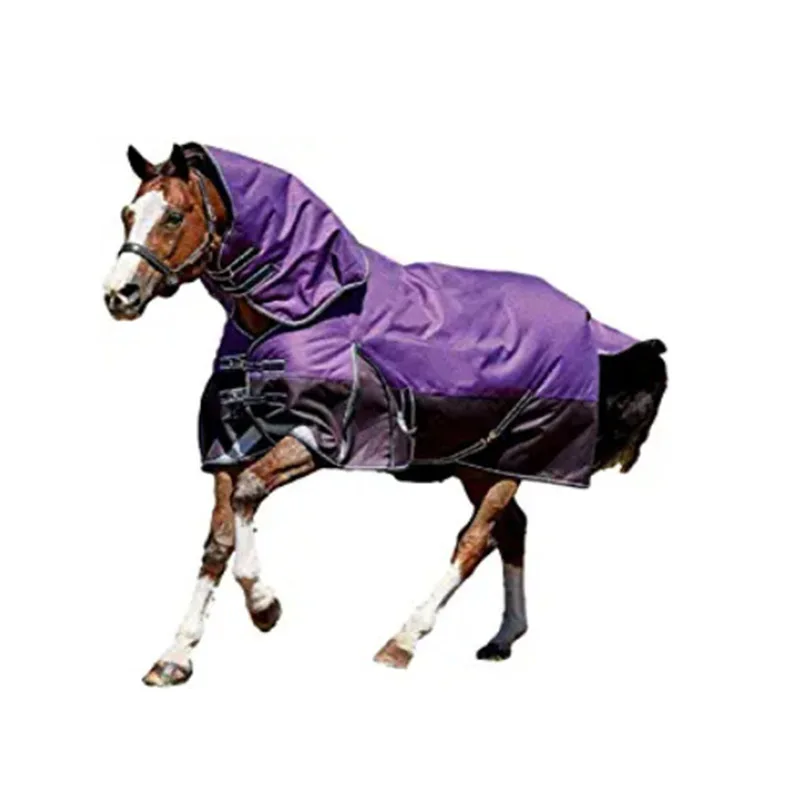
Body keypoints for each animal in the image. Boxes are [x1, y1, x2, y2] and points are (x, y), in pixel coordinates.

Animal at [104, 143, 667, 687]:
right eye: (128, 213)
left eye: (174, 215)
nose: (118, 295)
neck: (299, 311)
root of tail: (590, 325)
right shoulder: (230, 441)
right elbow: (217, 541)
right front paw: (174, 658)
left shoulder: (323, 435)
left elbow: (248, 493)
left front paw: (266, 608)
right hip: (479, 464)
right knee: (511, 531)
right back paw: (502, 639)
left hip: (513, 457)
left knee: (474, 540)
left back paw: (402, 642)